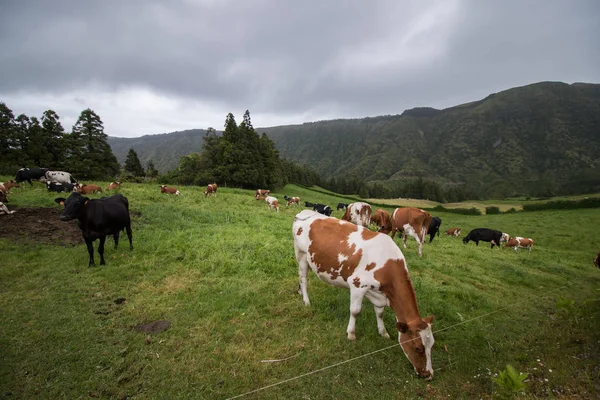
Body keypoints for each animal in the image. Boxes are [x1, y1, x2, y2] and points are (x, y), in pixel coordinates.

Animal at [292, 209, 434, 378]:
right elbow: (355, 311)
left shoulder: (379, 294)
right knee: (303, 278)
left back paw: (300, 293)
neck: (387, 264)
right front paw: (351, 334)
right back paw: (306, 301)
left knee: (300, 277)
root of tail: (305, 212)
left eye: (432, 345)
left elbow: (379, 313)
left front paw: (383, 332)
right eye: (418, 347)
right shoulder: (357, 285)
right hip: (301, 255)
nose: (428, 374)